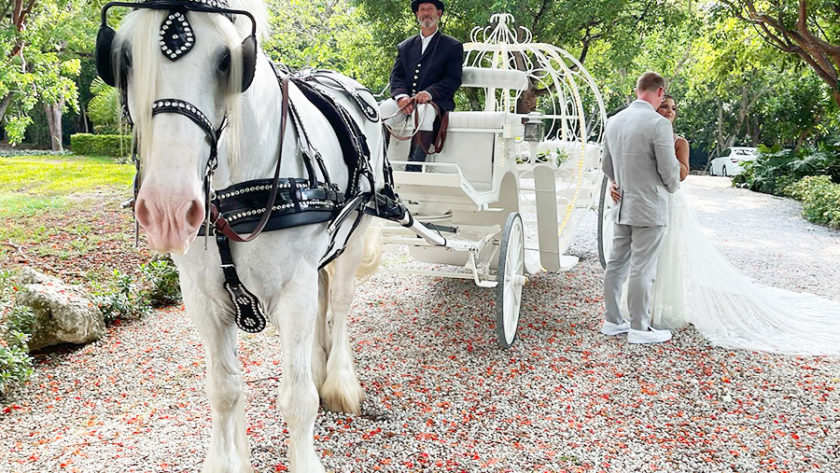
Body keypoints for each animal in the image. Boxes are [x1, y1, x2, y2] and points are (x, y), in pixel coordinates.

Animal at [110, 0, 384, 468]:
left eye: (227, 61)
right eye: (126, 57)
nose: (168, 209)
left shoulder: (293, 289)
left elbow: (299, 401)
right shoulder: (202, 296)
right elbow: (224, 390)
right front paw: (228, 459)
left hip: (356, 226)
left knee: (340, 302)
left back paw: (339, 381)